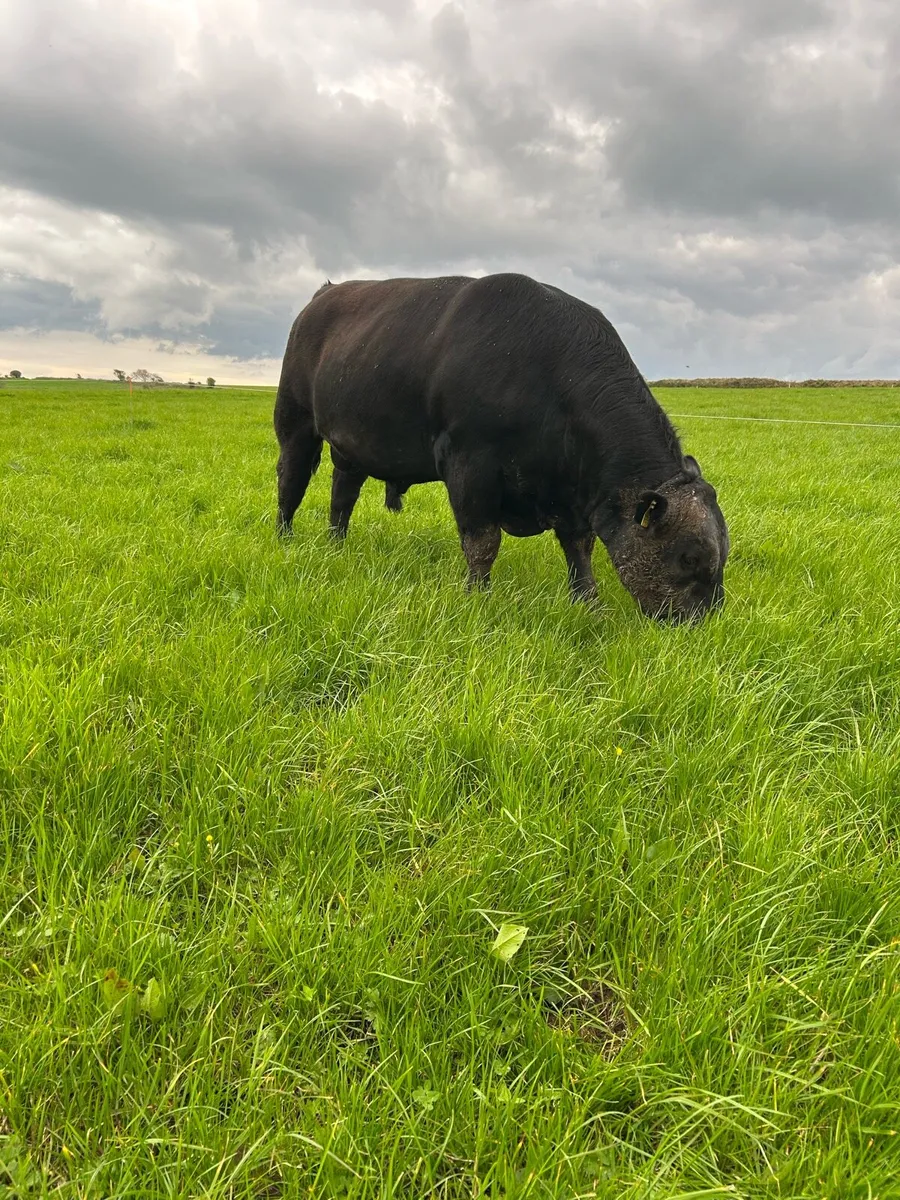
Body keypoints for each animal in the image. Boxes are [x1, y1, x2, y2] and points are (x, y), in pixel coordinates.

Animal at [274, 273, 729, 622]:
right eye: (690, 558)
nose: (705, 620)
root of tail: (326, 293)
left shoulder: (574, 496)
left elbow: (579, 549)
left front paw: (589, 604)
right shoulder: (469, 465)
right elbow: (482, 542)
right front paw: (478, 599)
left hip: (349, 447)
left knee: (342, 496)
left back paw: (337, 545)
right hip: (295, 423)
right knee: (290, 483)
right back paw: (284, 539)